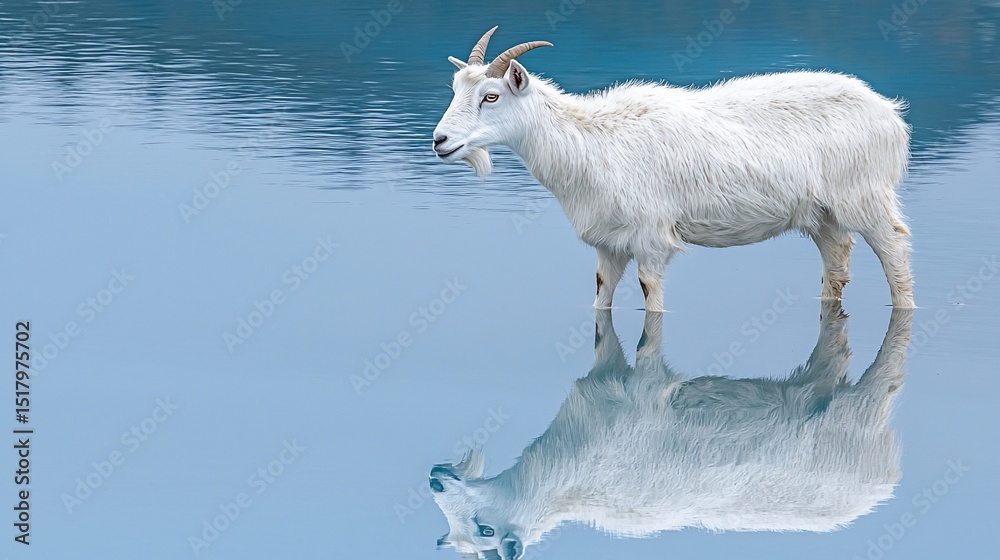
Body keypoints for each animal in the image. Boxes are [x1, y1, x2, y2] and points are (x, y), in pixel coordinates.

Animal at [429, 303, 912, 559]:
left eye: (485, 530)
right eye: (451, 534)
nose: (435, 479)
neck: (570, 469)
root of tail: (886, 476)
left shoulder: (634, 401)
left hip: (853, 415)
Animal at [433, 28, 915, 310]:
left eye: (491, 96)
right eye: (455, 88)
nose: (439, 141)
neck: (590, 140)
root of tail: (891, 115)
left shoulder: (651, 239)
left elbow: (652, 300)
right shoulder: (608, 244)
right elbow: (600, 296)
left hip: (865, 195)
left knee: (895, 250)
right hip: (823, 214)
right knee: (837, 259)